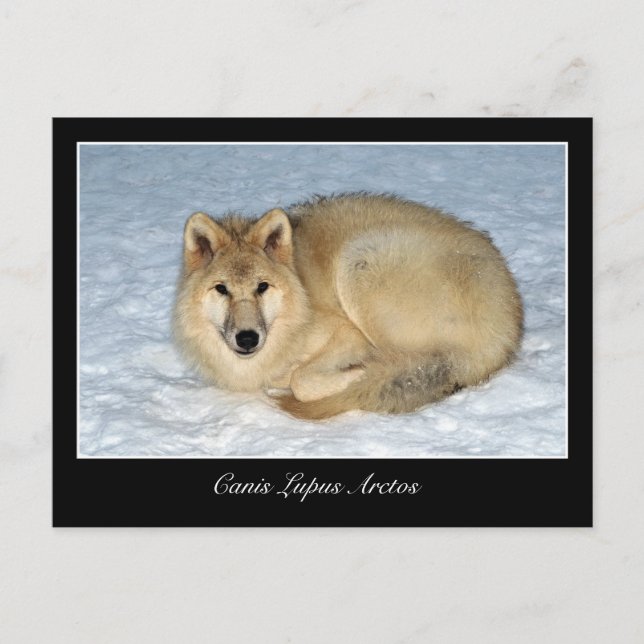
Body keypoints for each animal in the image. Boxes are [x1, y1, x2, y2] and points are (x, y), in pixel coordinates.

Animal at [174, 193, 523, 420]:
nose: (247, 339)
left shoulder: (346, 333)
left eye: (262, 287)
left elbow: (301, 379)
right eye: (222, 289)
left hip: (359, 260)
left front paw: (354, 372)